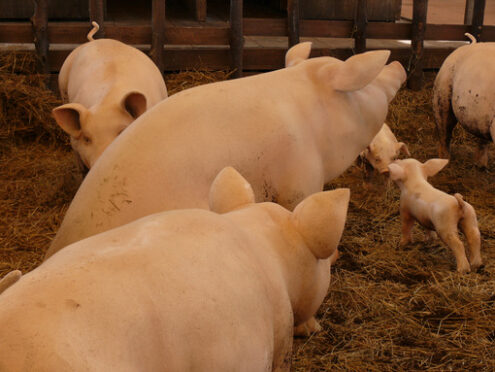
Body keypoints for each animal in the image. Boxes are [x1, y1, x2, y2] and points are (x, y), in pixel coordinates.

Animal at [52, 21, 169, 170]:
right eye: (87, 139)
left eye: (122, 133)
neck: (108, 100)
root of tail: (93, 41)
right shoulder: (75, 146)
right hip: (62, 84)